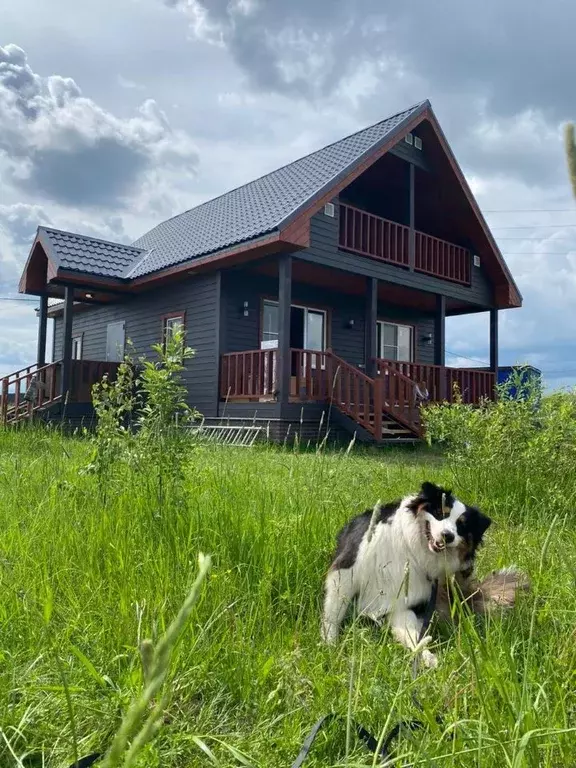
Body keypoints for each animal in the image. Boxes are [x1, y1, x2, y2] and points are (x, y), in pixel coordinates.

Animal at [320, 480, 528, 664]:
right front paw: (330, 646)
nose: (447, 536)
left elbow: (412, 635)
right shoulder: (345, 572)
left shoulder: (402, 603)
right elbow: (333, 614)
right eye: (440, 513)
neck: (412, 551)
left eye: (461, 526)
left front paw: (426, 657)